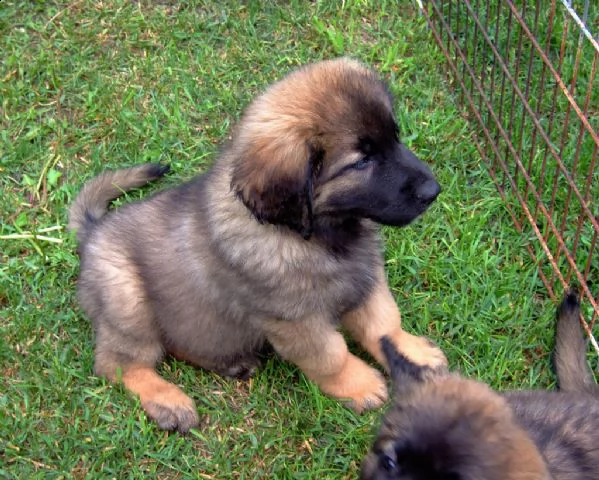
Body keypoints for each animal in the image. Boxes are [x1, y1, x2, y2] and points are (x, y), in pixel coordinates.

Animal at [69, 58, 446, 434]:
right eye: (362, 161)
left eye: (395, 137)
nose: (433, 190)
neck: (317, 236)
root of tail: (93, 231)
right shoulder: (295, 319)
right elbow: (331, 355)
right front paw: (360, 385)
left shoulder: (365, 279)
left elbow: (384, 323)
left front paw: (412, 356)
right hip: (127, 302)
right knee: (117, 364)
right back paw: (167, 401)